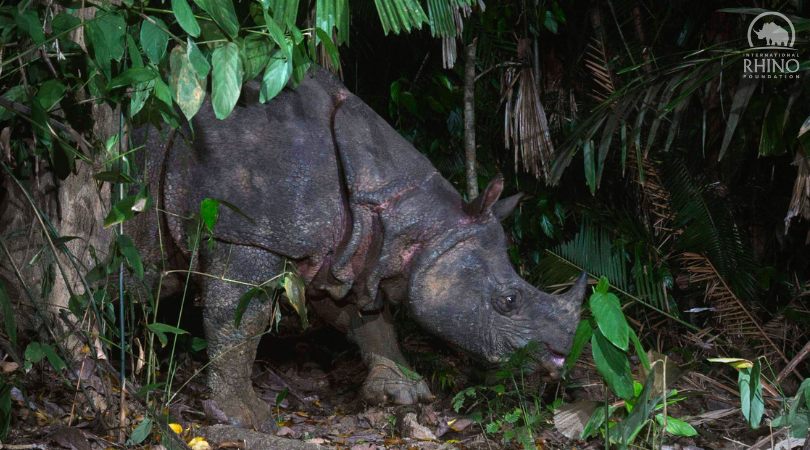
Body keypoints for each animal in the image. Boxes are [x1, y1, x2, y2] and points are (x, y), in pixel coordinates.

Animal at [133, 67, 588, 428]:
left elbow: (368, 318)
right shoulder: (245, 230)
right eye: (507, 300)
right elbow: (239, 318)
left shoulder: (346, 252)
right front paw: (244, 417)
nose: (562, 355)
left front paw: (405, 391)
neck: (414, 218)